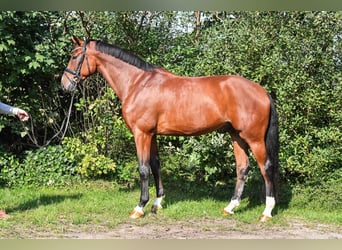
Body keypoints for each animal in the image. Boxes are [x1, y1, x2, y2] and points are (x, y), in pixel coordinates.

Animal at [61, 36, 280, 222]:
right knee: (242, 168)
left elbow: (143, 169)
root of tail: (261, 91)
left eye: (74, 56)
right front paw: (157, 203)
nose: (64, 85)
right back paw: (230, 207)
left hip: (254, 139)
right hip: (237, 136)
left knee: (266, 167)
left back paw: (266, 212)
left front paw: (139, 207)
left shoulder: (141, 134)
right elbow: (155, 165)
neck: (137, 83)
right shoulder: (152, 135)